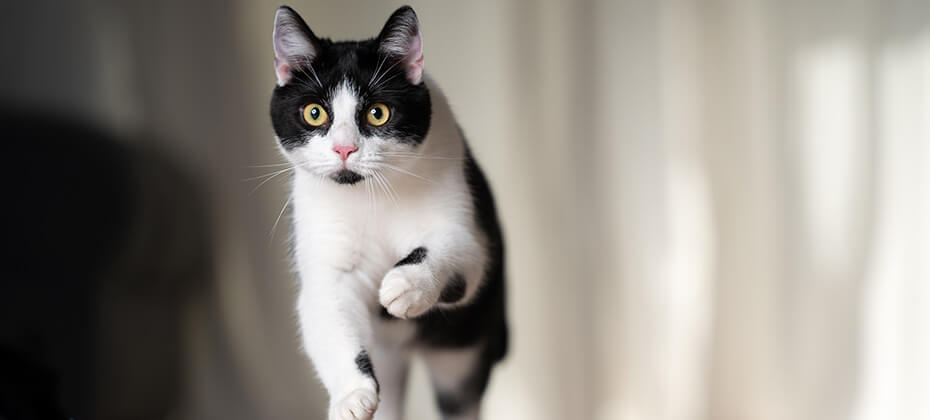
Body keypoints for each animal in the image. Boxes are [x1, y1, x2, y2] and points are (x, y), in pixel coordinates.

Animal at [264, 5, 512, 420]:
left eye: (378, 113)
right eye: (314, 113)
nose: (344, 149)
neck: (370, 196)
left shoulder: (468, 229)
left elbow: (453, 247)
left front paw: (407, 284)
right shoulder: (326, 260)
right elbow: (329, 314)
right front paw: (351, 396)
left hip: (463, 349)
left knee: (460, 397)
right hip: (389, 356)